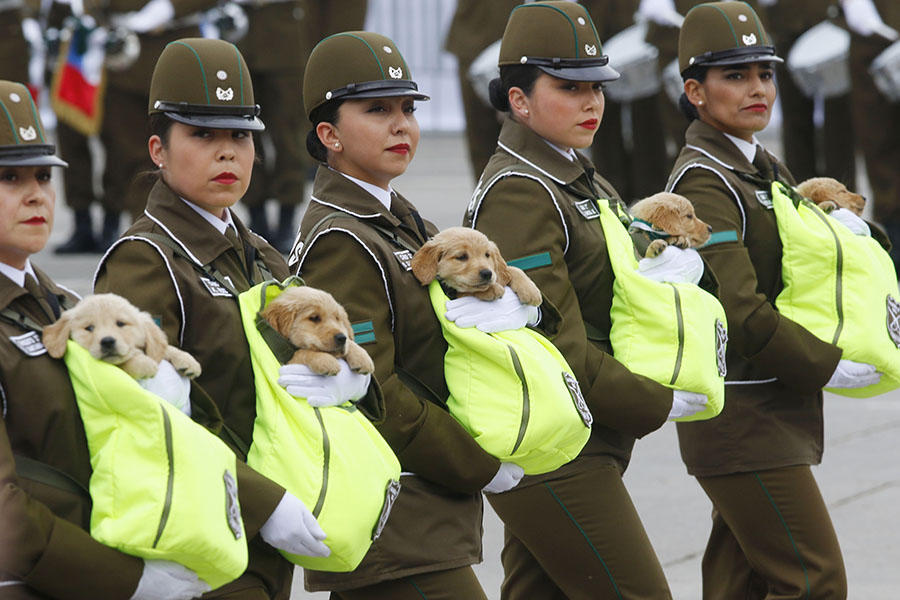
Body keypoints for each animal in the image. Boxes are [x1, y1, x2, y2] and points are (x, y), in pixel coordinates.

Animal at [43, 296, 200, 380]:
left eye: (120, 324)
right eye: (89, 328)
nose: (107, 341)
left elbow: (164, 347)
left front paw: (188, 361)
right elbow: (124, 363)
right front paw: (144, 365)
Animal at [410, 227, 540, 308]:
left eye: (487, 255)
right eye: (461, 257)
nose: (487, 273)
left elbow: (511, 269)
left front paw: (530, 291)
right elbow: (466, 291)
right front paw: (491, 289)